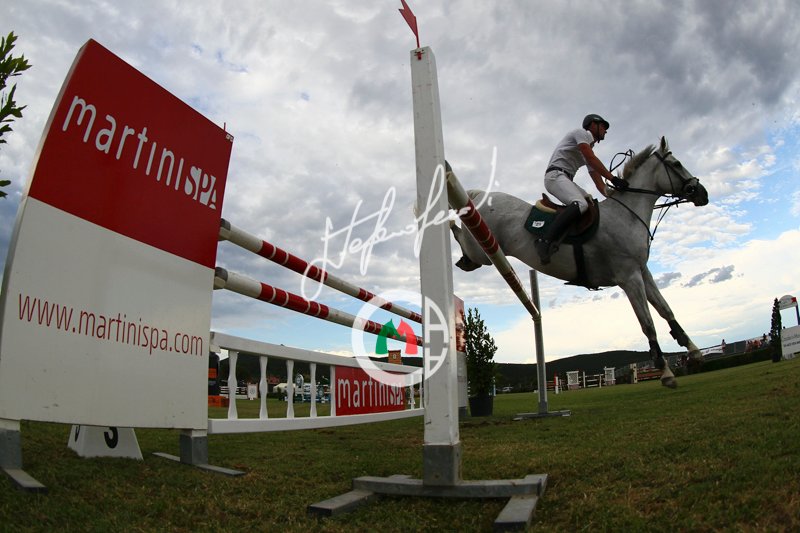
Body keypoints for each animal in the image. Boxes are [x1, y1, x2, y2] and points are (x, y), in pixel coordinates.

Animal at [450, 137, 709, 388]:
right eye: (677, 164)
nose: (703, 194)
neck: (627, 215)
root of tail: (479, 195)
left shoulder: (642, 272)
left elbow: (666, 309)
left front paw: (694, 352)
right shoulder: (629, 278)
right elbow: (648, 324)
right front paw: (666, 372)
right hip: (481, 250)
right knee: (460, 235)